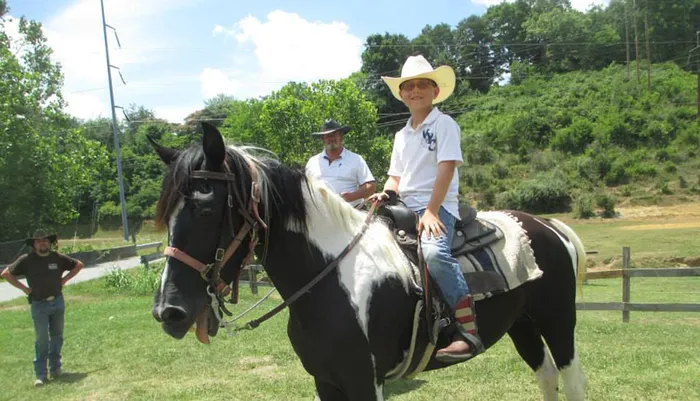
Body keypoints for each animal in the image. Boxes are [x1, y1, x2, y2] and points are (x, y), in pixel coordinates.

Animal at [152, 123, 584, 398]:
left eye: (206, 208)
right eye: (165, 215)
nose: (168, 312)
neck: (329, 283)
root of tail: (547, 226)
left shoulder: (364, 382)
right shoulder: (326, 382)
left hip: (558, 320)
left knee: (570, 378)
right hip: (521, 325)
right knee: (546, 377)